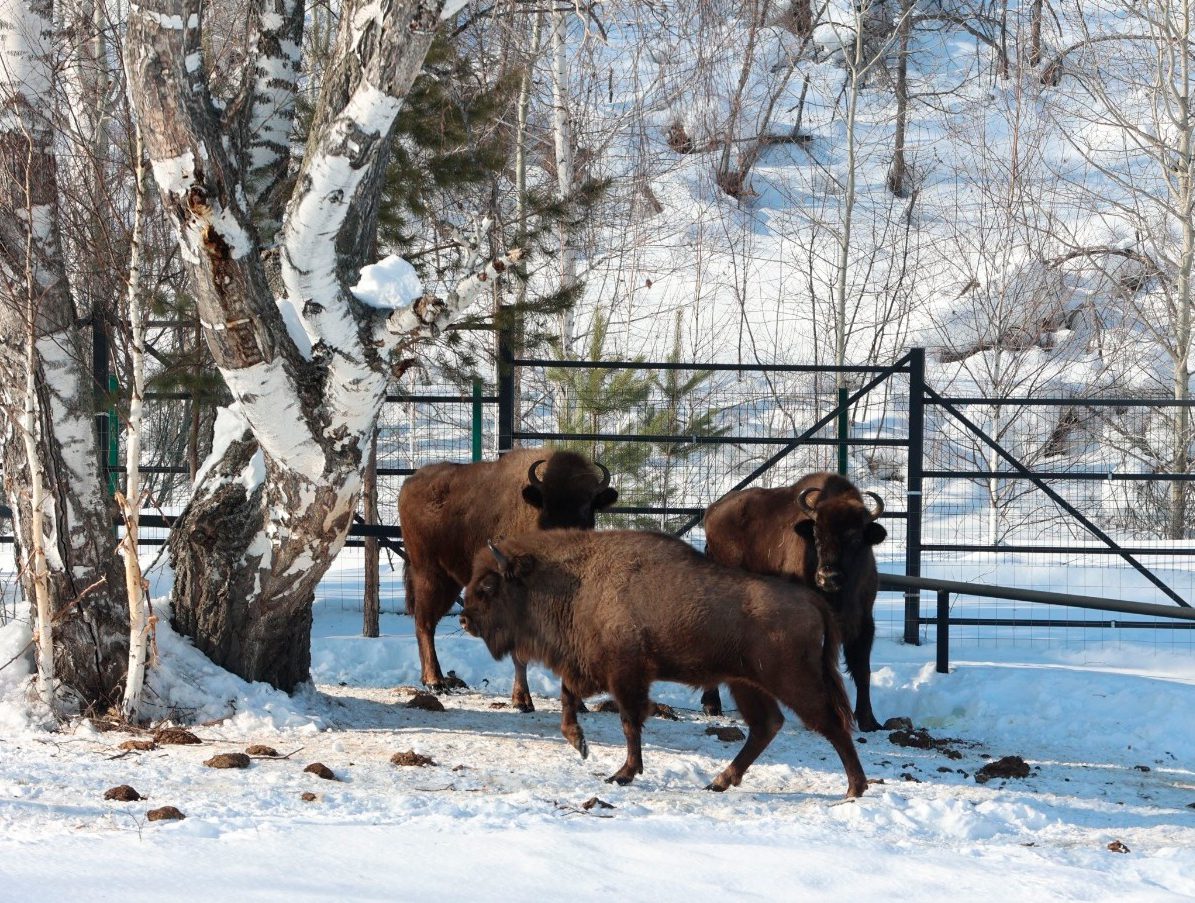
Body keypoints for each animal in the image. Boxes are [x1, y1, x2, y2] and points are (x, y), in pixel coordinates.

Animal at [399, 449, 616, 707]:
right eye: (546, 505)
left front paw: (578, 704)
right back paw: (436, 682)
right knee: (425, 623)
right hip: (430, 575)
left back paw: (432, 679)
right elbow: (519, 654)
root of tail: (410, 483)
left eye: (587, 506)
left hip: (448, 581)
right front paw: (522, 701)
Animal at [458, 527, 869, 797]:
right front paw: (580, 744)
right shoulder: (593, 670)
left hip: (793, 681)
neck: (578, 581)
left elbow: (629, 722)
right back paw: (718, 781)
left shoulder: (625, 675)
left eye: (489, 586)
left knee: (830, 724)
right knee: (767, 726)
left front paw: (623, 773)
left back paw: (854, 789)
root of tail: (813, 600)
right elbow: (568, 698)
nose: (464, 619)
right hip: (746, 684)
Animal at [697, 473, 889, 735]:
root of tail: (712, 511)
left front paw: (869, 721)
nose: (828, 576)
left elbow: (862, 669)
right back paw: (711, 705)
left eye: (855, 537)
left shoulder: (862, 621)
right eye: (816, 536)